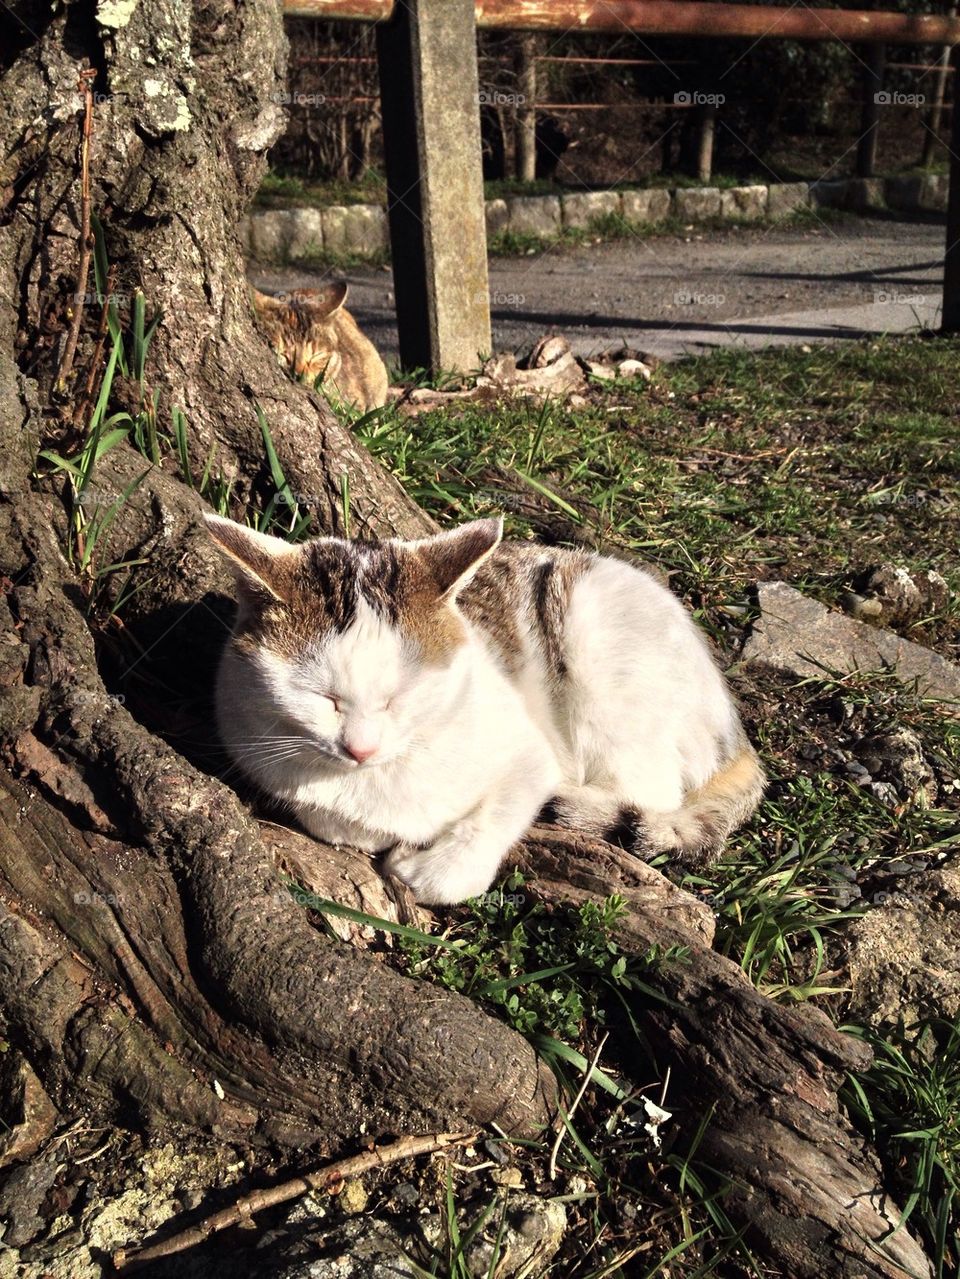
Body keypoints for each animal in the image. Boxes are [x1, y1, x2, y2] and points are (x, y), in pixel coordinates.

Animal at [208, 514, 766, 905]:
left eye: (399, 695)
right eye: (325, 699)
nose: (360, 748)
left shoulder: (528, 752)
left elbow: (496, 812)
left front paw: (431, 865)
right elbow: (334, 820)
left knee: (651, 793)